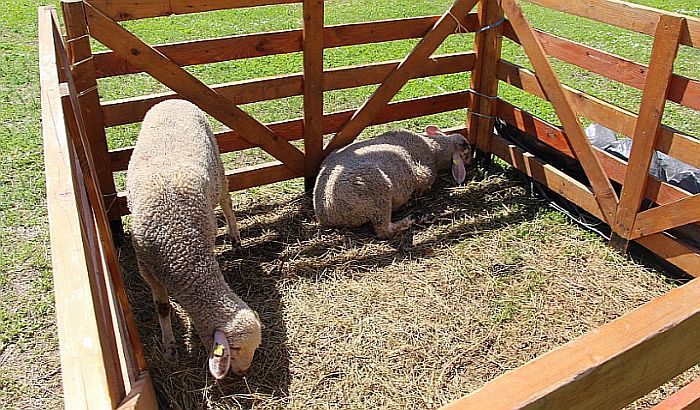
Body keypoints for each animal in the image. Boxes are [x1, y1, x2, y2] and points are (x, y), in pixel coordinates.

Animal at [127, 98, 262, 378]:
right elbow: (163, 307)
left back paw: (235, 236)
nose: (243, 372)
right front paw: (169, 348)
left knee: (226, 202)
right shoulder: (145, 266)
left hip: (218, 167)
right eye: (235, 349)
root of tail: (172, 99)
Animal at [316, 126, 470, 239]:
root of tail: (328, 212)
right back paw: (415, 218)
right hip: (378, 193)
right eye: (466, 154)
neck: (434, 150)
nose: (466, 143)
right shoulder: (424, 174)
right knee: (384, 231)